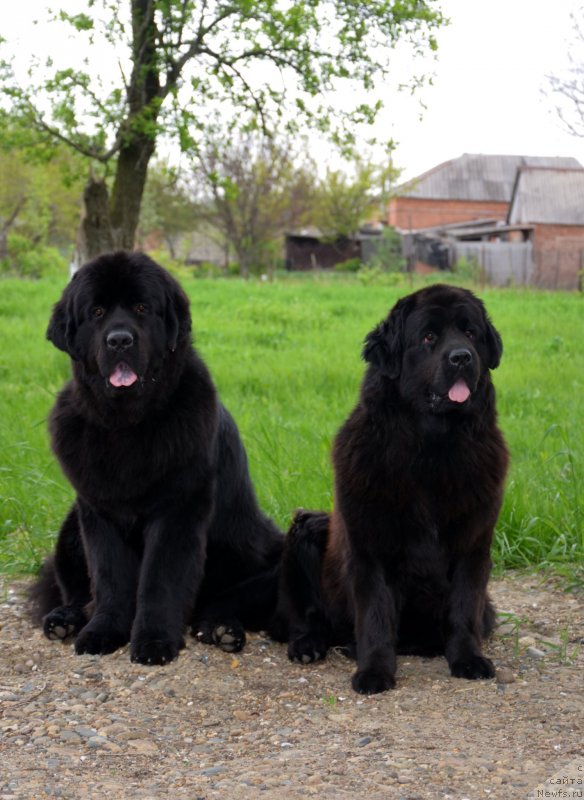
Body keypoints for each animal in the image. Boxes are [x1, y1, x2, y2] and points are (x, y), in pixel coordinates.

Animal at [30, 253, 284, 664]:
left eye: (141, 308)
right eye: (96, 312)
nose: (120, 339)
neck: (126, 425)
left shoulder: (177, 511)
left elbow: (160, 579)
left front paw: (154, 640)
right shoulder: (99, 513)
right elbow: (110, 578)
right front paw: (103, 632)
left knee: (225, 600)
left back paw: (222, 629)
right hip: (70, 527)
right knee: (77, 593)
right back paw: (64, 620)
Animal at [276, 286, 508, 692]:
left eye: (471, 334)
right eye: (428, 337)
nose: (462, 357)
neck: (432, 450)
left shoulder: (473, 544)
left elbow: (464, 608)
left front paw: (468, 659)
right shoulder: (372, 547)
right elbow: (376, 615)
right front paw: (374, 671)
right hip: (307, 529)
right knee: (309, 613)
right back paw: (309, 644)